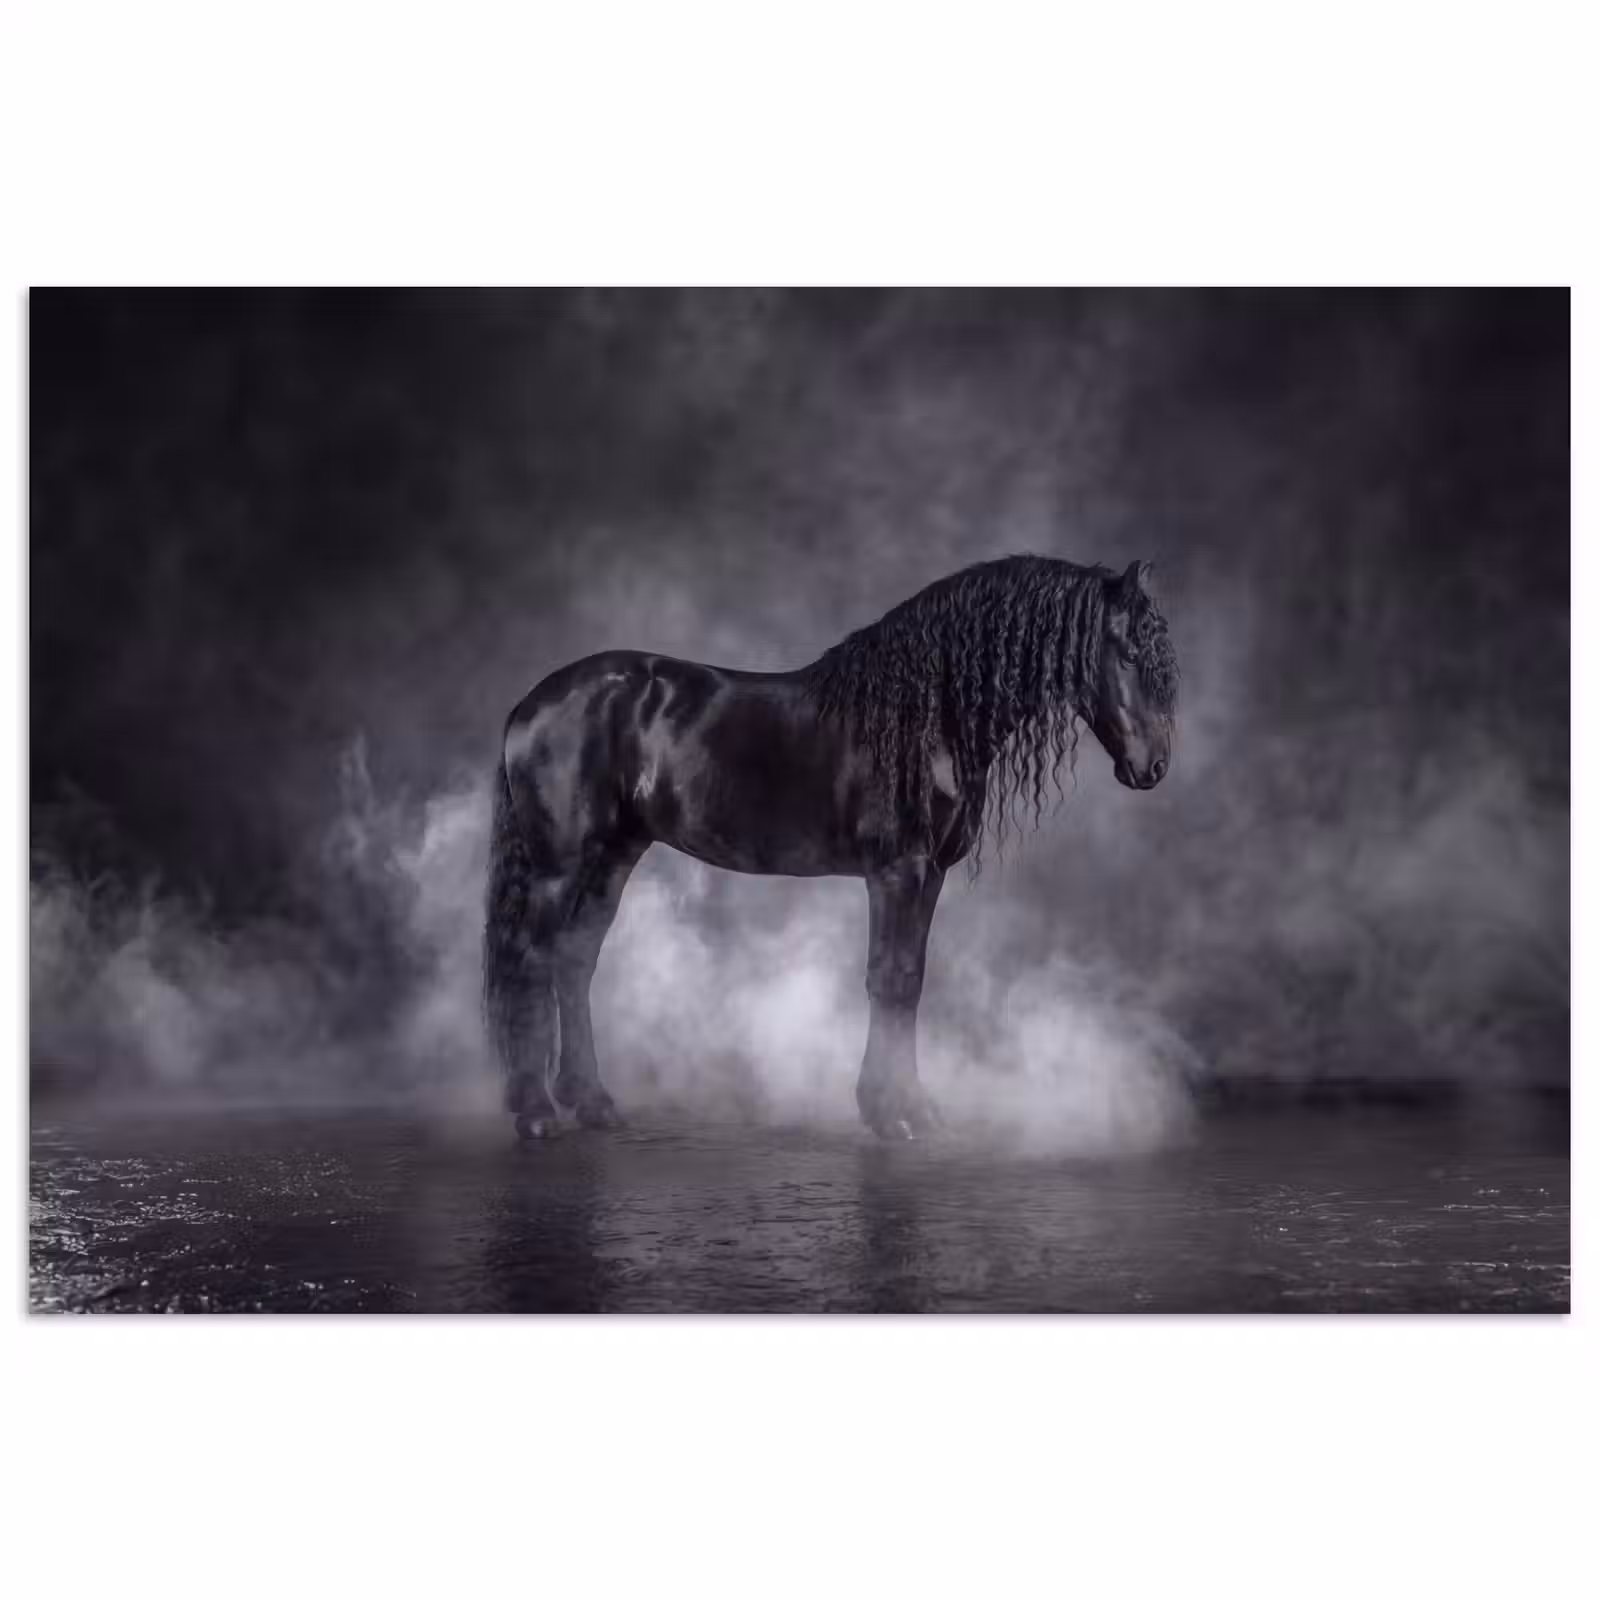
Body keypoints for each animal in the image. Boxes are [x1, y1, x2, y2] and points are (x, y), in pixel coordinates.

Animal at [484, 553, 1179, 1142]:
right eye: (1128, 653)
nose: (1154, 767)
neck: (926, 717)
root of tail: (532, 702)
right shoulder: (897, 871)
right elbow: (889, 978)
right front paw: (890, 1114)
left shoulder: (931, 875)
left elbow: (912, 981)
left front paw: (914, 1107)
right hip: (558, 865)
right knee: (533, 960)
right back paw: (536, 1111)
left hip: (614, 854)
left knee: (575, 960)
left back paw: (592, 1103)